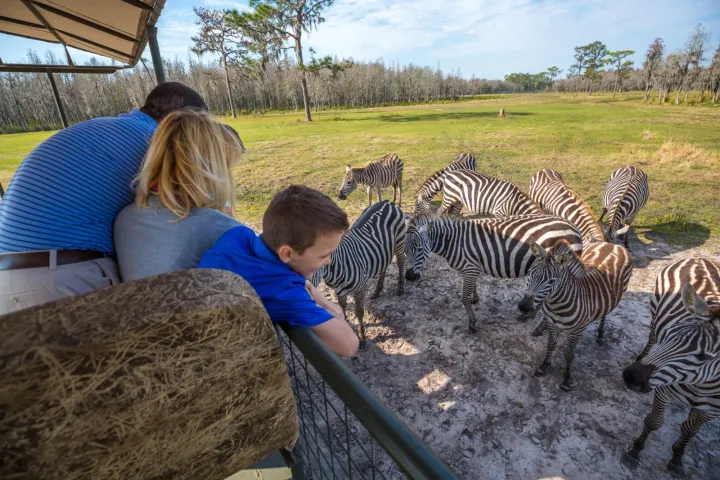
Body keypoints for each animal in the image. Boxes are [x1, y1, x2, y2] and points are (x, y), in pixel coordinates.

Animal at [312, 200, 406, 346]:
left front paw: (362, 337)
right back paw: (377, 291)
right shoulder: (337, 289)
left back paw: (400, 287)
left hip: (399, 242)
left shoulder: (360, 289)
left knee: (401, 261)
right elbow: (342, 305)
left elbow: (359, 312)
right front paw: (345, 322)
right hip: (383, 250)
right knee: (383, 266)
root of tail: (387, 202)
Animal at [404, 214, 583, 333]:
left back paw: (538, 325)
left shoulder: (470, 268)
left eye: (419, 248)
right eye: (405, 250)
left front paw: (472, 323)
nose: (409, 277)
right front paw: (475, 298)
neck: (454, 241)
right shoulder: (472, 268)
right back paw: (530, 315)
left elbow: (464, 298)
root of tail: (575, 228)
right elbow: (472, 289)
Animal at [525, 240, 632, 391]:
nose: (523, 306)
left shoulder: (577, 331)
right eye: (529, 273)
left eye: (551, 281)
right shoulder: (552, 325)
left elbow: (569, 354)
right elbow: (550, 346)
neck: (556, 306)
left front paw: (566, 379)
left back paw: (600, 335)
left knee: (605, 314)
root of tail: (612, 244)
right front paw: (543, 366)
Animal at [622, 277, 720, 478]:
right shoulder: (663, 390)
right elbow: (655, 421)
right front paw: (636, 450)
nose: (630, 377)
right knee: (652, 336)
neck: (701, 385)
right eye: (667, 334)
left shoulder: (713, 411)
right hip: (655, 310)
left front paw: (677, 458)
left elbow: (689, 431)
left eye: (702, 356)